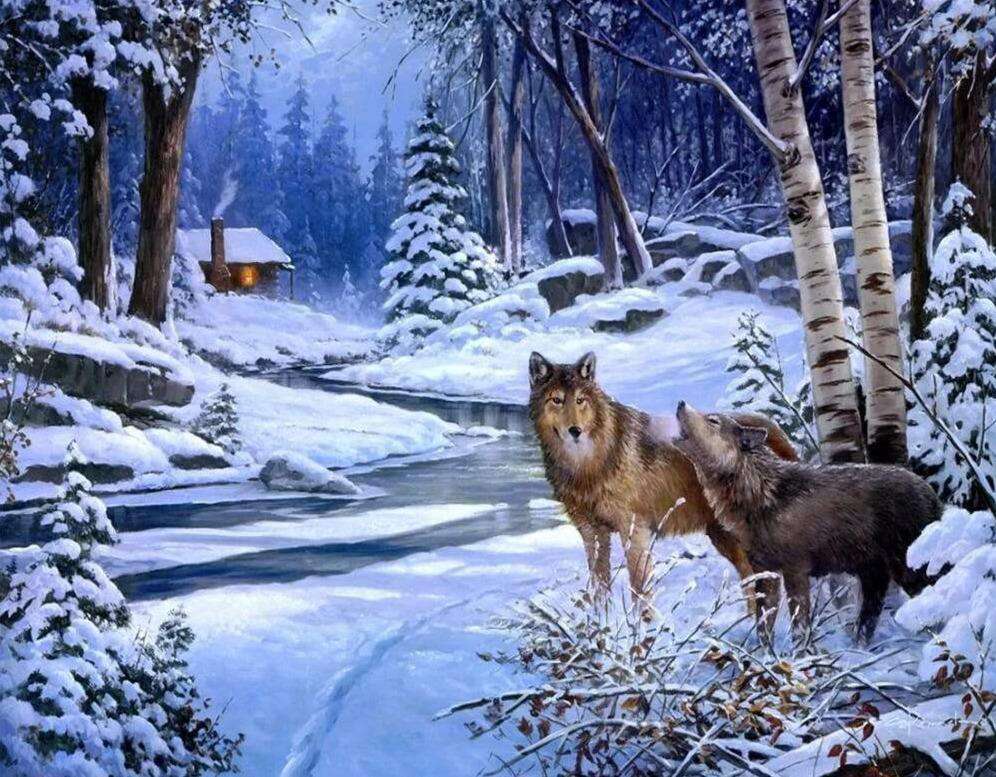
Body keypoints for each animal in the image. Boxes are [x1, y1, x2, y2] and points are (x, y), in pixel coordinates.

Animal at [528, 351, 798, 608]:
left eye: (580, 400)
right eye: (557, 400)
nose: (575, 431)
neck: (587, 464)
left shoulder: (634, 531)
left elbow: (639, 590)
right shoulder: (591, 532)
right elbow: (600, 589)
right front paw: (601, 623)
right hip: (722, 538)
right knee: (751, 585)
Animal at [673, 401, 941, 641]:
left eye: (713, 420)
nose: (680, 403)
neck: (760, 495)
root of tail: (932, 493)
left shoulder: (796, 571)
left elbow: (799, 627)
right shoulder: (765, 572)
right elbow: (763, 626)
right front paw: (766, 658)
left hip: (908, 572)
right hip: (873, 576)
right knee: (867, 622)